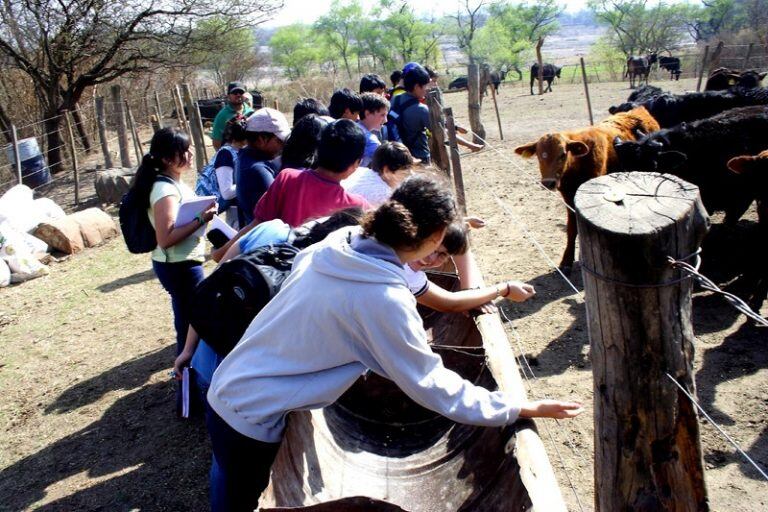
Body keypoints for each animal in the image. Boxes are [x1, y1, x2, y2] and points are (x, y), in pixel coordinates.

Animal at [516, 106, 660, 270]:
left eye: (563, 154)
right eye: (539, 155)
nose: (548, 183)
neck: (577, 164)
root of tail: (639, 110)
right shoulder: (568, 197)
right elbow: (572, 228)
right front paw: (566, 260)